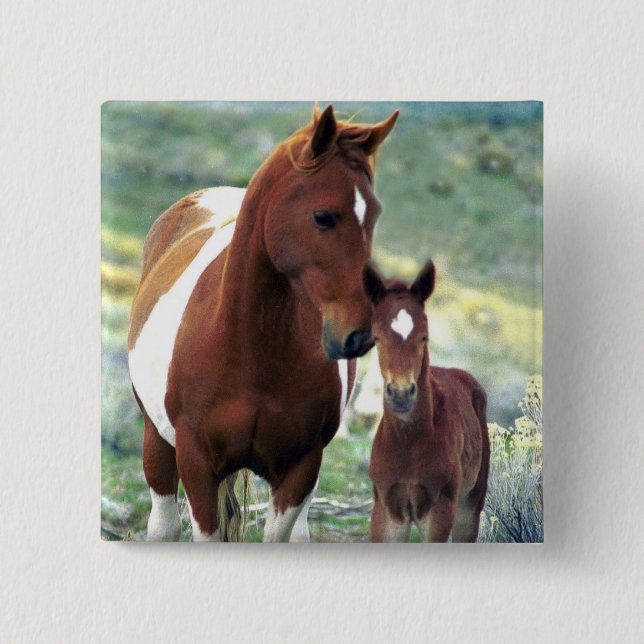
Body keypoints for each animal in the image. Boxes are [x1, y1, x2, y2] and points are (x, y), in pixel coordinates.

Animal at [127, 104, 399, 541]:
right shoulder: (197, 462)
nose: (359, 334)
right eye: (323, 216)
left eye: (373, 216)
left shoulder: (301, 468)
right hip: (157, 442)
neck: (251, 350)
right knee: (164, 525)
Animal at [363, 259, 490, 542]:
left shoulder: (439, 511)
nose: (401, 393)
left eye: (424, 336)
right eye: (376, 337)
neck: (408, 442)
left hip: (469, 507)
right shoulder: (387, 512)